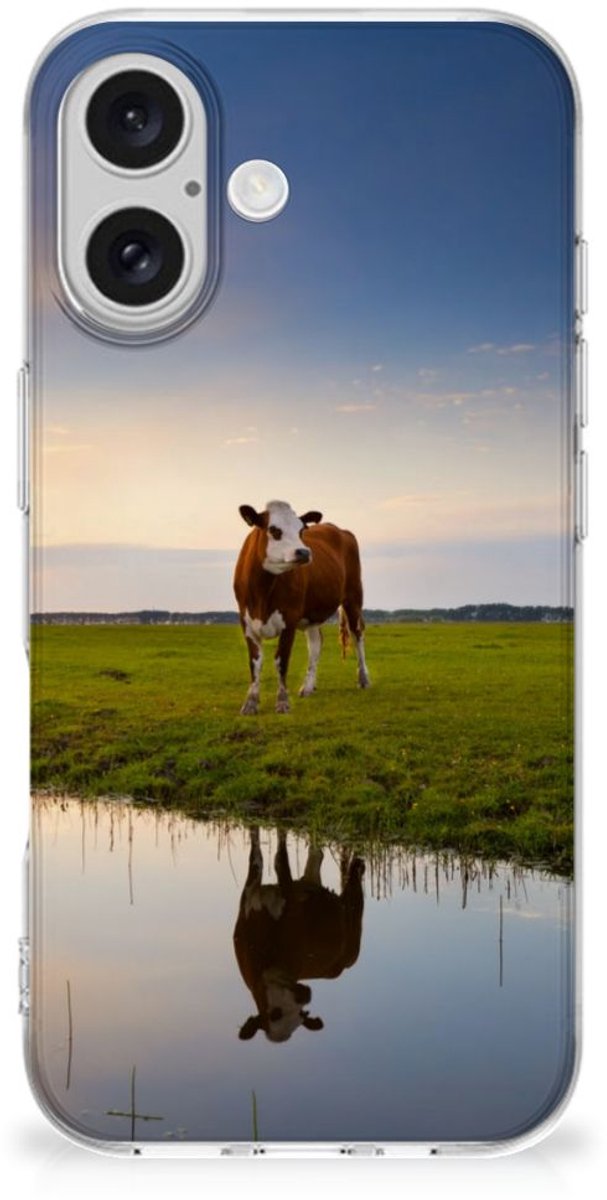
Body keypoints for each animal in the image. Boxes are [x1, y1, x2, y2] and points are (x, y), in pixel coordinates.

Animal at [233, 500, 370, 715]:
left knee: (357, 634)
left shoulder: (289, 620)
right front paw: (250, 703)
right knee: (316, 643)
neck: (262, 591)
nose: (304, 552)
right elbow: (255, 662)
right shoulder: (246, 622)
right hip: (312, 614)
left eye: (301, 530)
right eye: (274, 530)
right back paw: (308, 687)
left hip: (353, 597)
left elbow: (281, 661)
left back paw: (363, 678)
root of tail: (339, 529)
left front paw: (282, 702)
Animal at [233, 827, 365, 1043]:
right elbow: (257, 855)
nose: (305, 995)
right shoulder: (249, 895)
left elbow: (280, 860)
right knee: (316, 855)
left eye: (301, 1015)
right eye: (274, 1014)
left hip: (353, 929)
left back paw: (358, 865)